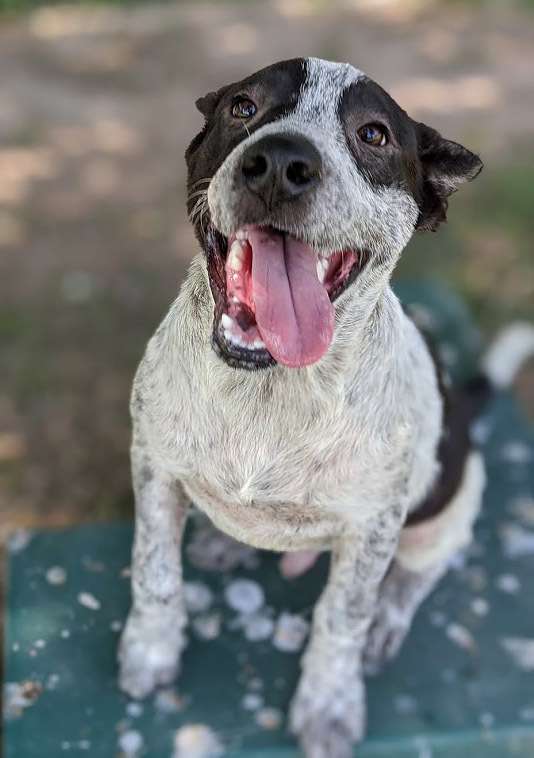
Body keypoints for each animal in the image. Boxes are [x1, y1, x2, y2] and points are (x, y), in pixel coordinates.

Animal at [118, 59, 534, 758]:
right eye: (242, 106)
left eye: (373, 134)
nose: (279, 163)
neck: (268, 392)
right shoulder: (154, 466)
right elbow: (155, 573)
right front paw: (151, 649)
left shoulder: (373, 529)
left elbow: (342, 617)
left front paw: (330, 701)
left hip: (450, 504)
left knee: (419, 572)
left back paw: (390, 617)